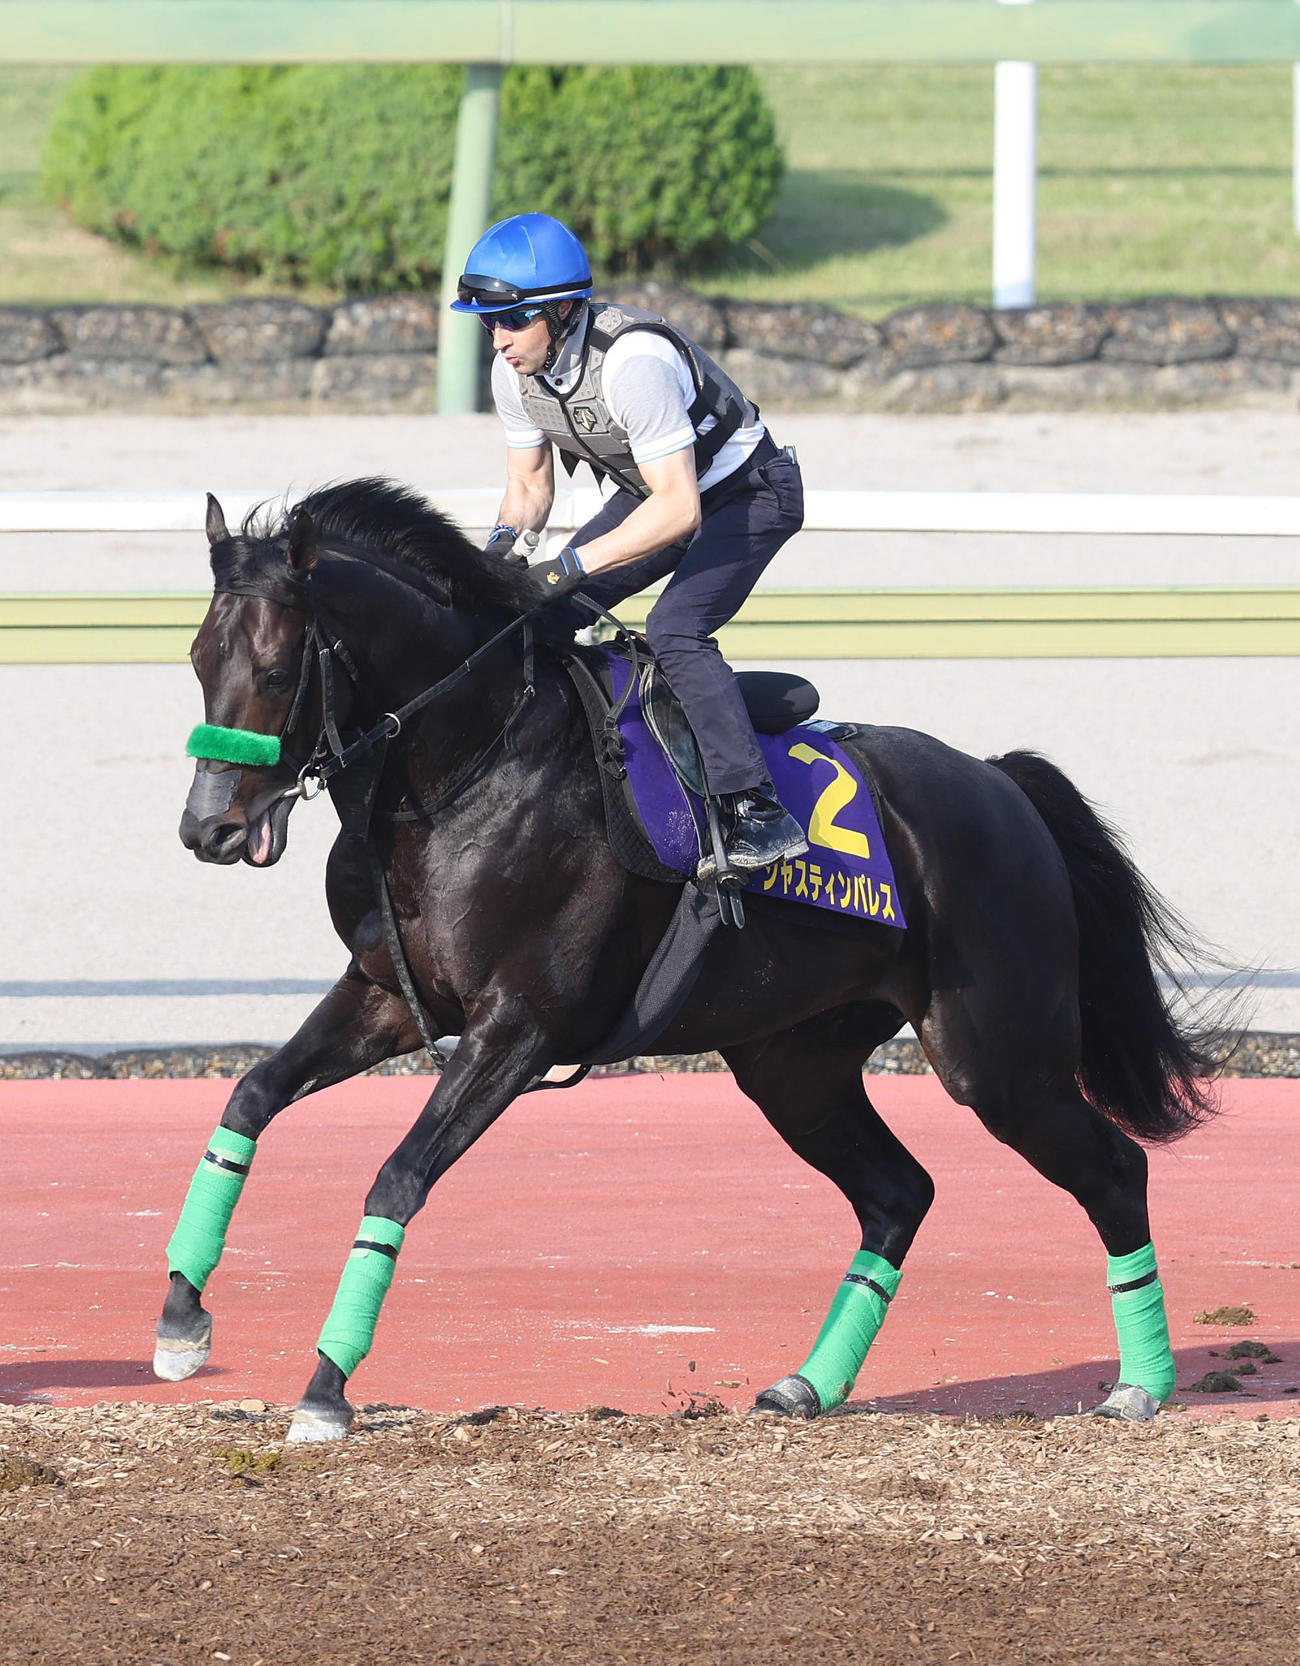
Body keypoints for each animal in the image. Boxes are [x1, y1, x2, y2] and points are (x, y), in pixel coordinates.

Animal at [159, 476, 1226, 1442]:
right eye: (199, 656)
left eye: (277, 666)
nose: (211, 829)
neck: (465, 772)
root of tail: (1002, 785)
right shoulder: (385, 995)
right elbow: (249, 1098)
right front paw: (180, 1316)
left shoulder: (519, 1028)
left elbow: (396, 1178)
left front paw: (326, 1387)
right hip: (795, 1063)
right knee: (898, 1194)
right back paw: (809, 1384)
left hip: (997, 1057)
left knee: (1114, 1171)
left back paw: (1140, 1385)